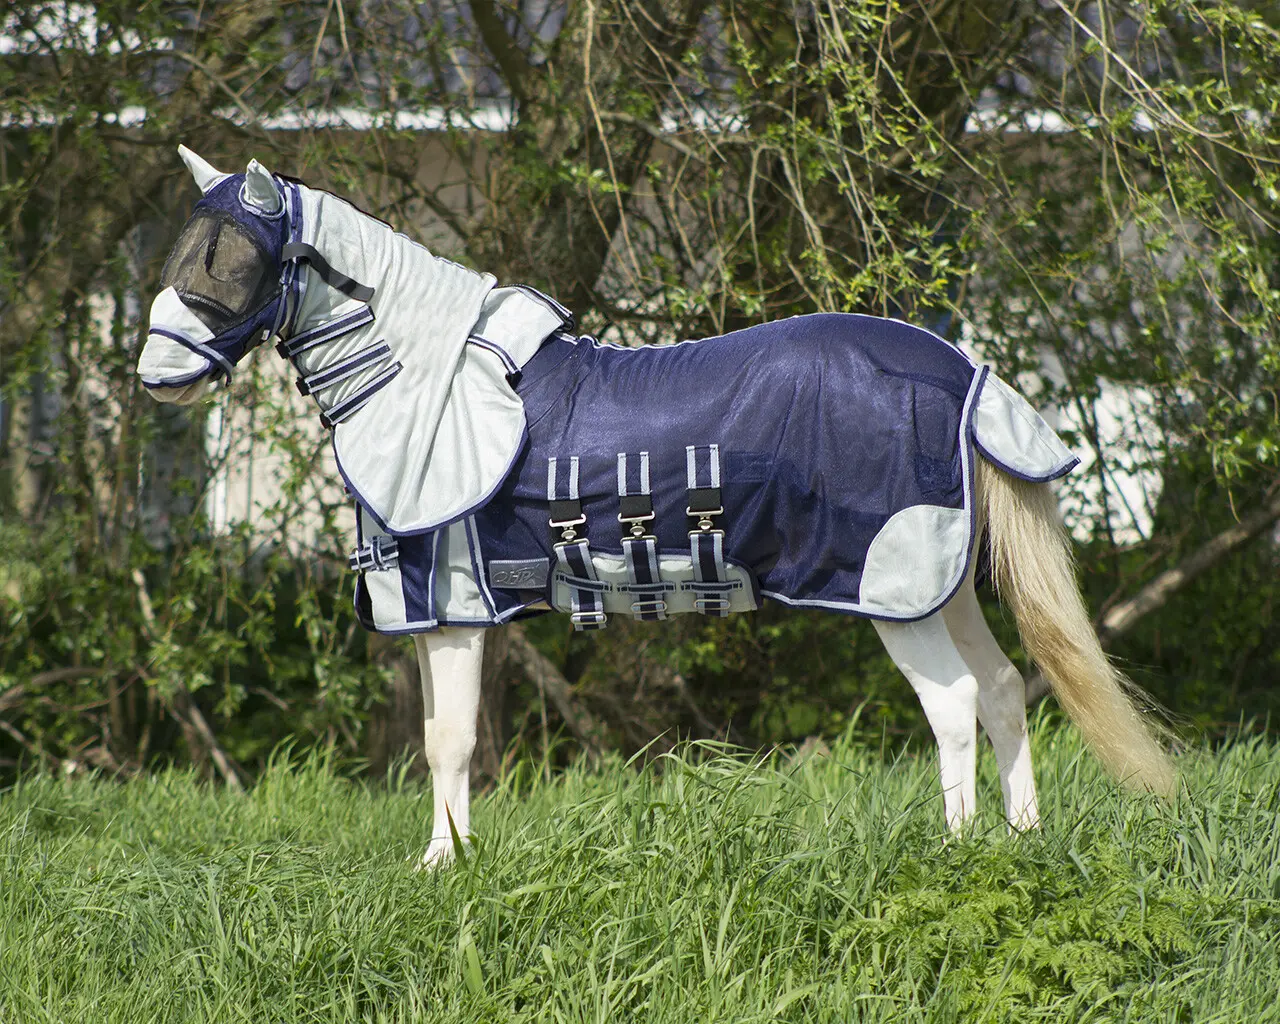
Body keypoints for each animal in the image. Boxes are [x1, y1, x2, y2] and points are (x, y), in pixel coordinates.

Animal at [137, 147, 1174, 867]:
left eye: (230, 256)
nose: (154, 376)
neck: (422, 379)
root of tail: (961, 369)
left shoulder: (456, 613)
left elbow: (448, 739)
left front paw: (442, 867)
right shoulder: (443, 616)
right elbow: (444, 742)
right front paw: (447, 857)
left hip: (893, 588)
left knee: (953, 703)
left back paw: (959, 855)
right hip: (938, 587)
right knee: (999, 690)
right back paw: (1021, 840)